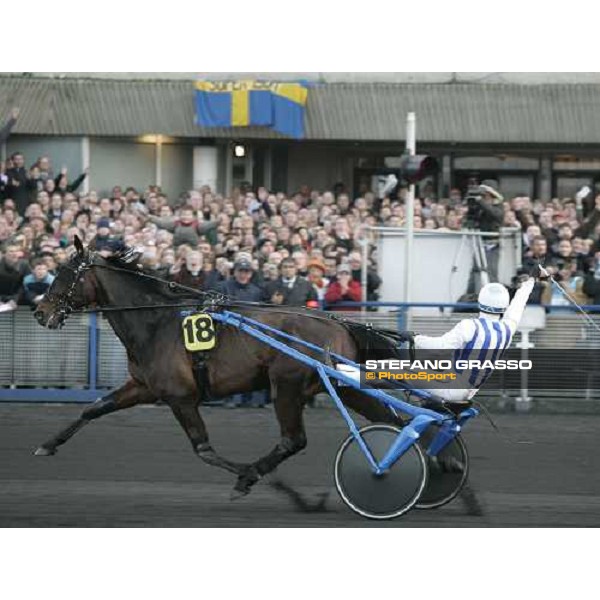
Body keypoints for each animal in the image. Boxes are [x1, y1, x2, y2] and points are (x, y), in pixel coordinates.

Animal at [34, 238, 404, 496]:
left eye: (65, 274)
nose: (40, 312)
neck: (155, 321)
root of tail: (340, 324)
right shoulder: (143, 386)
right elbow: (93, 409)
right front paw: (48, 444)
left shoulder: (180, 396)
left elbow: (204, 450)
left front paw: (247, 474)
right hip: (346, 387)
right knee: (393, 422)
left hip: (286, 386)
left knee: (293, 440)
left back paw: (254, 473)